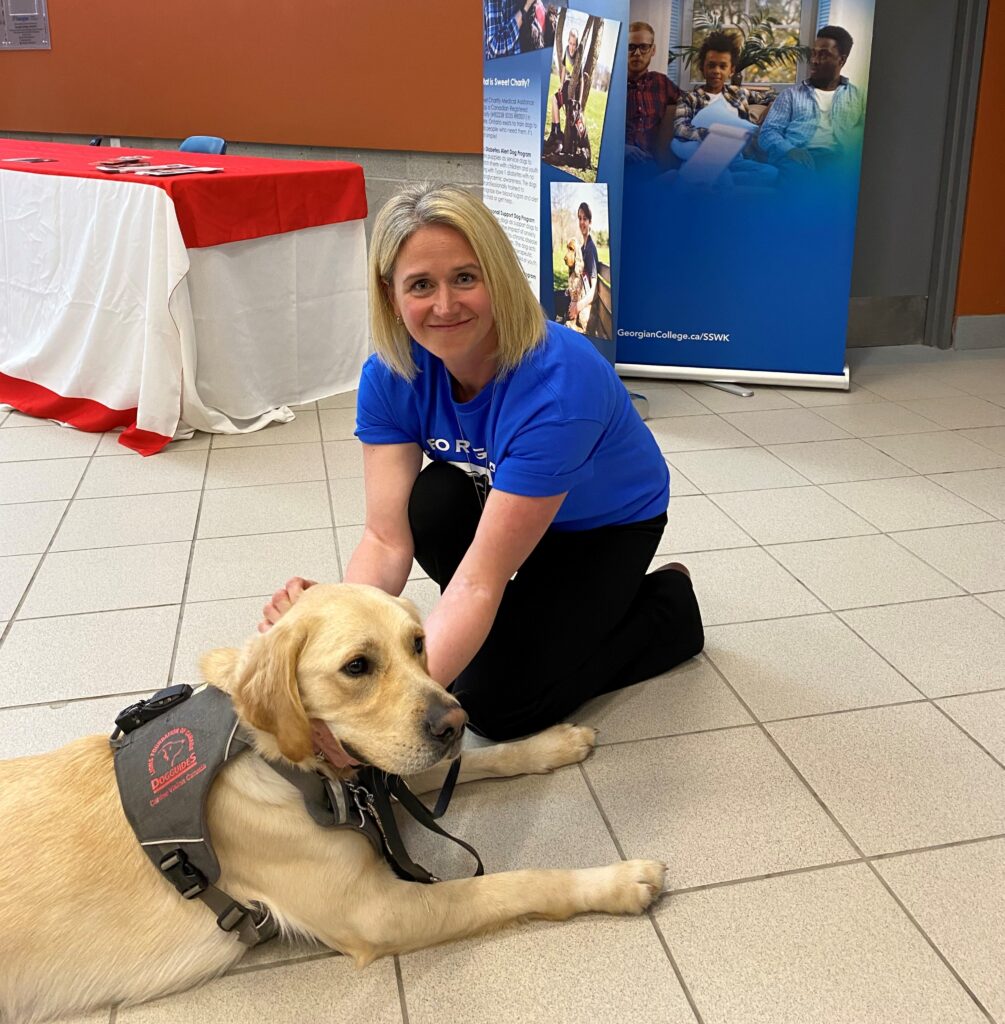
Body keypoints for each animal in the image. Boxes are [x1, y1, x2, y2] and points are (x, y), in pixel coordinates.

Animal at [1, 585, 667, 1024]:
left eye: (419, 644)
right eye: (357, 666)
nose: (456, 721)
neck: (271, 756)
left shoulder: (382, 776)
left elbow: (483, 761)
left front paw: (552, 743)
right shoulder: (378, 911)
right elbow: (514, 883)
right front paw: (615, 880)